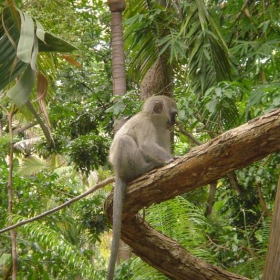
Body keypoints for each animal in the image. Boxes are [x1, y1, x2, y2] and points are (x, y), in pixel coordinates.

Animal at [107, 95, 177, 278]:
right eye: (174, 114)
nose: (175, 122)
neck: (152, 119)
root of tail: (118, 172)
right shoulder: (146, 125)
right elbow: (146, 145)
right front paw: (170, 160)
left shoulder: (164, 131)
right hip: (126, 165)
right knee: (125, 141)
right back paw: (143, 170)